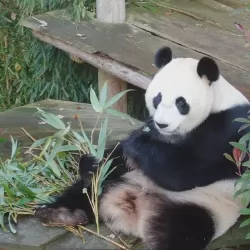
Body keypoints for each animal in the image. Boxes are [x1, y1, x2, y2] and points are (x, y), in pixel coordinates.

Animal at [34, 47, 250, 250]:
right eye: (158, 98)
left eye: (181, 102)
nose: (162, 124)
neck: (218, 101)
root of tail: (133, 203)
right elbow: (117, 157)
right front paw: (92, 162)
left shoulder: (231, 131)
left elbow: (188, 171)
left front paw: (136, 144)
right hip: (118, 181)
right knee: (89, 188)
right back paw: (59, 213)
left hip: (205, 207)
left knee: (183, 232)